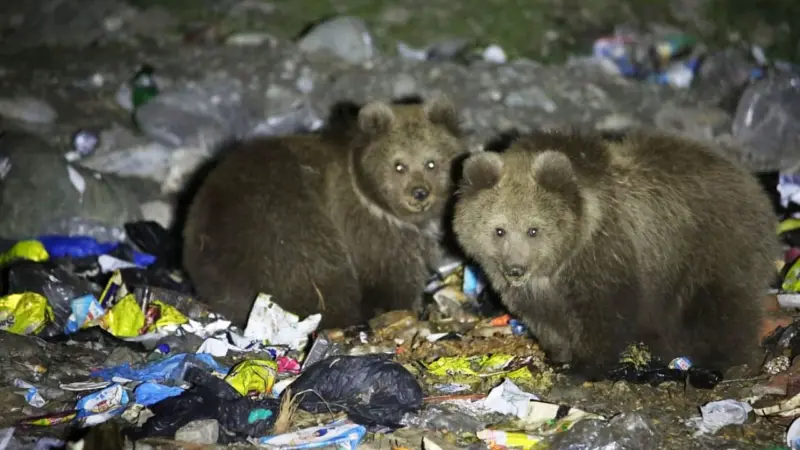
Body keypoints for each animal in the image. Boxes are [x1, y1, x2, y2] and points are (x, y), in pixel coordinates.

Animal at [182, 95, 468, 330]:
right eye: (399, 165)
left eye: (431, 163)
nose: (419, 193)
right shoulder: (367, 228)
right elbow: (391, 274)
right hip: (286, 224)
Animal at [452, 128, 779, 380]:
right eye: (499, 230)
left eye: (534, 229)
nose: (515, 269)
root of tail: (752, 185)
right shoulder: (534, 292)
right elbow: (546, 322)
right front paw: (559, 357)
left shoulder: (608, 259)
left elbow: (604, 317)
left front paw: (583, 367)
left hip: (711, 250)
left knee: (723, 308)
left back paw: (730, 362)